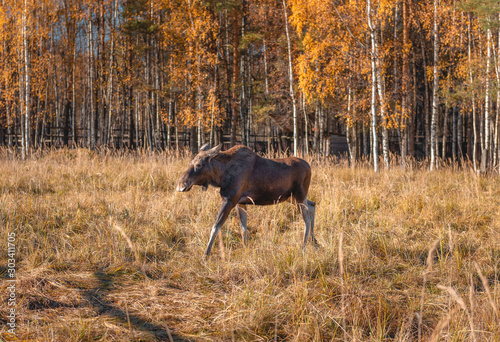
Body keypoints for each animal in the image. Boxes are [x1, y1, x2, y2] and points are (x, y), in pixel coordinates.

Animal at [176, 143, 316, 258]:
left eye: (199, 164)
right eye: (191, 162)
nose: (180, 185)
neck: (221, 176)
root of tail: (310, 167)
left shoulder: (230, 200)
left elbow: (215, 227)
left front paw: (205, 255)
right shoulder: (240, 203)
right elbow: (243, 229)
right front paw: (245, 249)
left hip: (299, 196)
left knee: (307, 219)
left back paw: (303, 248)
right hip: (291, 198)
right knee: (312, 205)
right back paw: (315, 242)